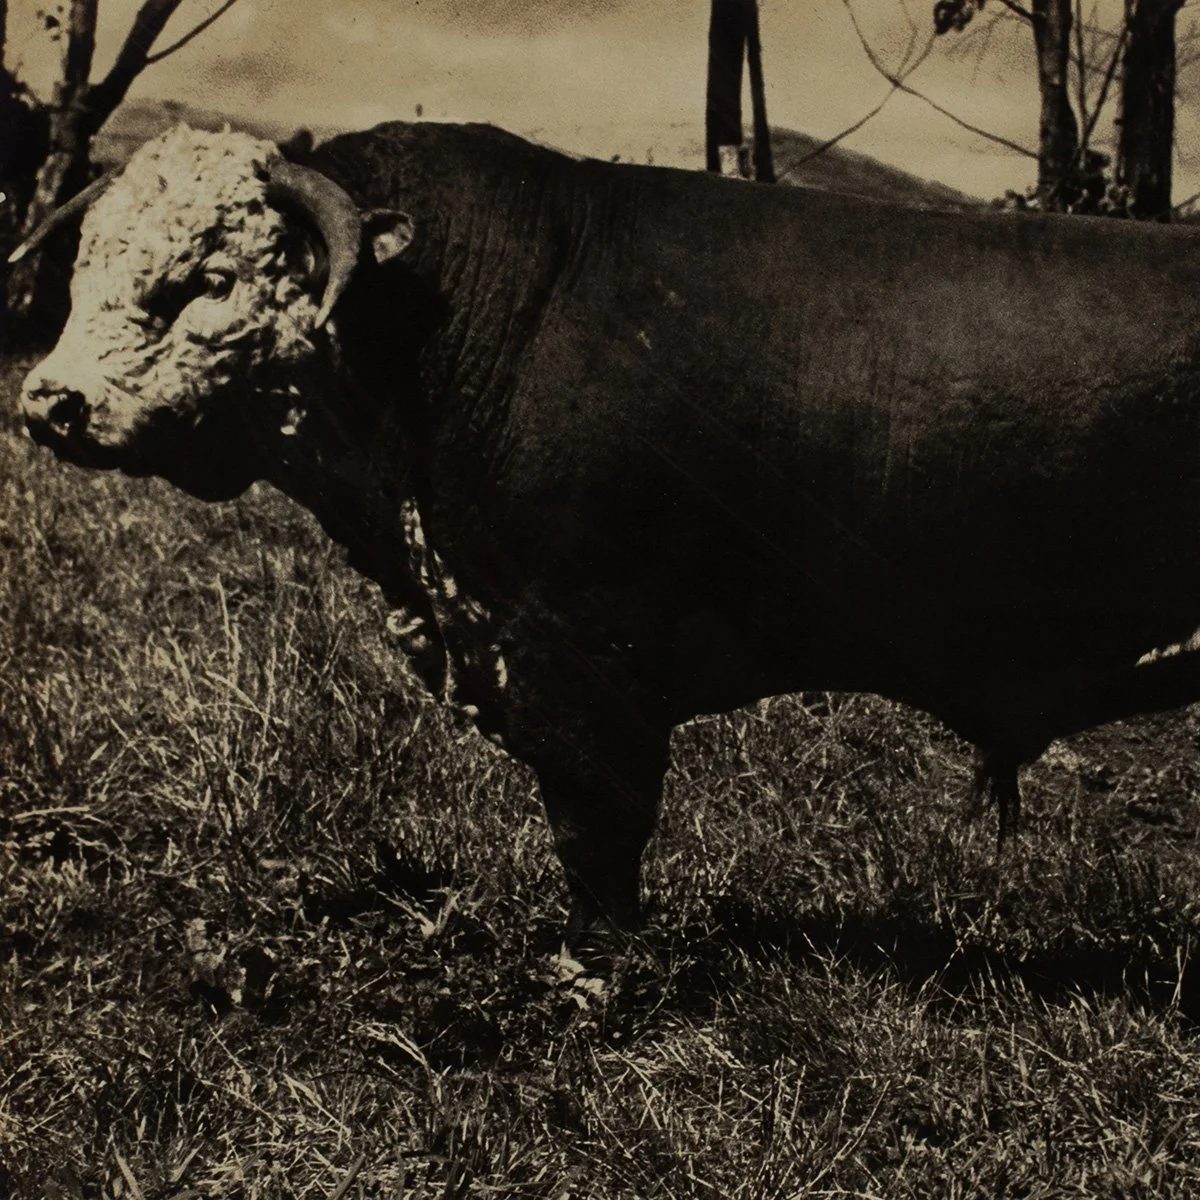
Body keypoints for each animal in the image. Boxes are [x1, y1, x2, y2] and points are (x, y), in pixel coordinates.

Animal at [15, 121, 1200, 968]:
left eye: (204, 280)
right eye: (84, 269)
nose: (49, 401)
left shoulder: (573, 651)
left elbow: (599, 824)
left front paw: (594, 971)